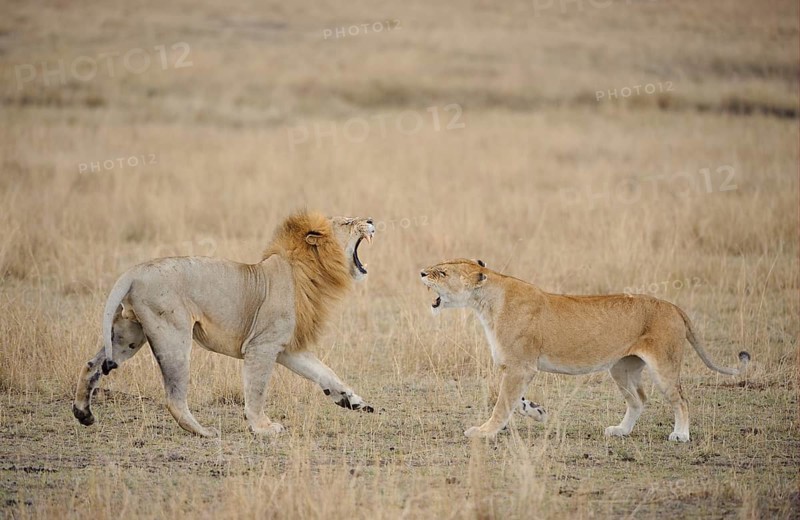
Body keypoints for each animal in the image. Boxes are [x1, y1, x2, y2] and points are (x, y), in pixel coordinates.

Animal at [73, 212, 376, 437]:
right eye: (348, 222)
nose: (371, 219)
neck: (310, 270)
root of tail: (134, 271)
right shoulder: (261, 346)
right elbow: (256, 389)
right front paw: (263, 427)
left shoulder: (286, 347)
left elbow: (324, 372)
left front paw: (352, 400)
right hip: (173, 334)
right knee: (174, 396)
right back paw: (204, 432)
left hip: (128, 334)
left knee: (92, 365)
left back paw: (83, 413)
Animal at [420, 259, 749, 442]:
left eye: (441, 272)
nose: (422, 273)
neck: (486, 301)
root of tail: (672, 306)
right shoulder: (515, 367)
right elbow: (510, 399)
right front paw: (535, 411)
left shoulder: (520, 366)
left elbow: (501, 403)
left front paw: (485, 432)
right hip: (621, 367)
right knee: (639, 399)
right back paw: (621, 431)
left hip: (664, 366)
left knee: (680, 399)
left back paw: (680, 435)